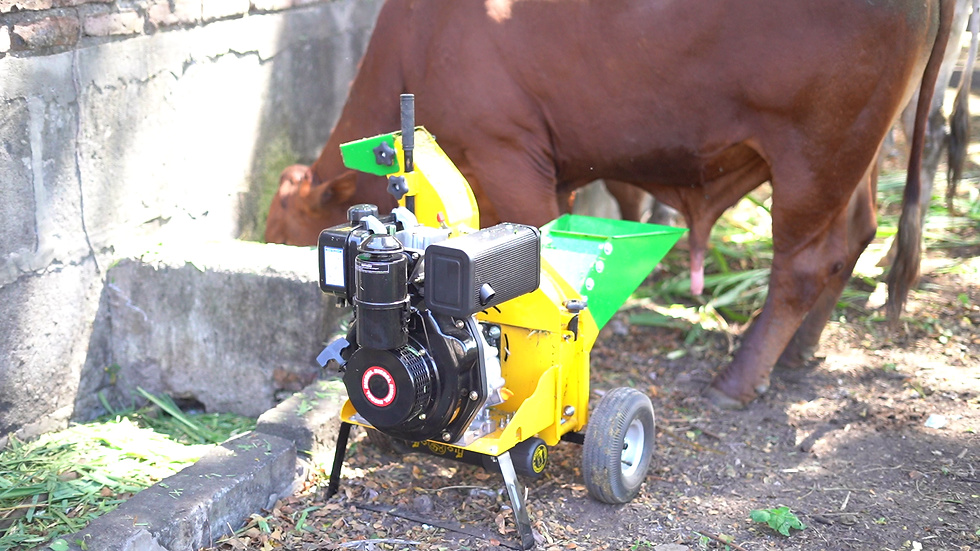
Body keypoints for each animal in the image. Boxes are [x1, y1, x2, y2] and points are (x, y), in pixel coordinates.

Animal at [266, 0, 954, 408]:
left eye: (288, 231)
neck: (420, 38)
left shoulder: (508, 154)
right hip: (855, 156)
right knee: (855, 237)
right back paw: (799, 350)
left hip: (815, 154)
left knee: (806, 262)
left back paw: (737, 379)